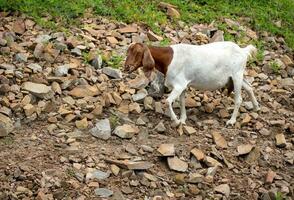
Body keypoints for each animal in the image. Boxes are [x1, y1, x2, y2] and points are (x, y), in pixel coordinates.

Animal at [124, 41, 260, 126]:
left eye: (137, 52)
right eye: (128, 52)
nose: (126, 67)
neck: (169, 59)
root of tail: (243, 51)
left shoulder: (179, 85)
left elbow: (167, 101)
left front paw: (176, 121)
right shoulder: (183, 85)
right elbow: (182, 101)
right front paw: (183, 119)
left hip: (237, 75)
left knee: (239, 99)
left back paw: (231, 121)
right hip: (236, 76)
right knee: (249, 87)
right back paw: (256, 107)